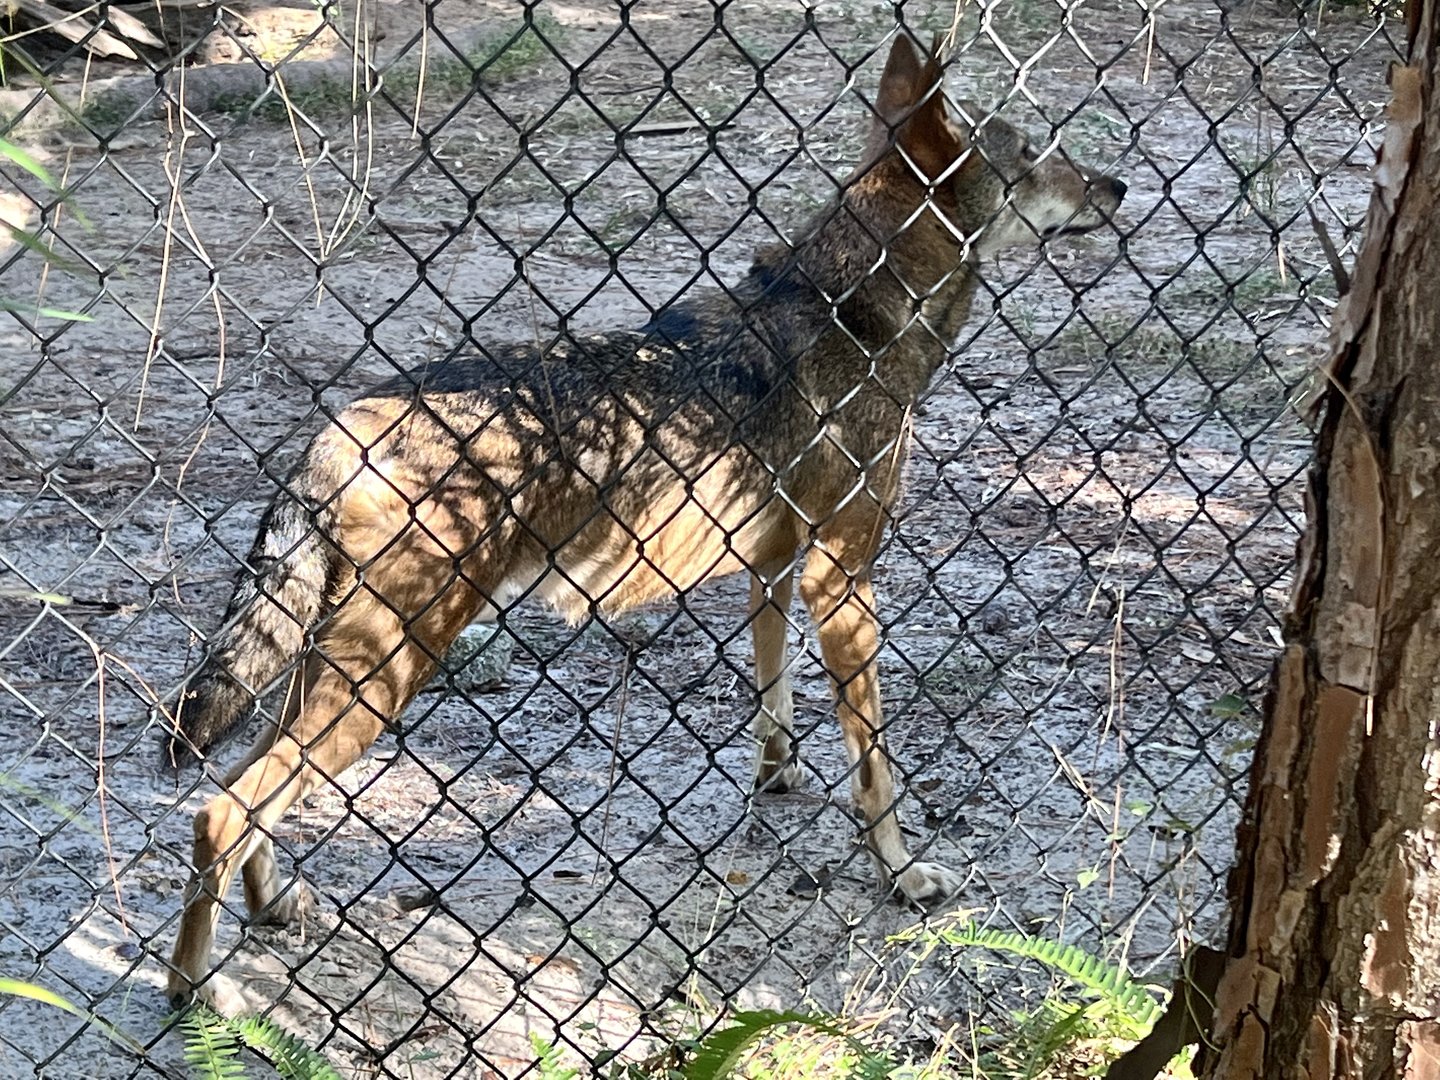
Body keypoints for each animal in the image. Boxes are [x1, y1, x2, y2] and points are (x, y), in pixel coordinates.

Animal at [163, 32, 1125, 1010]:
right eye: (1038, 154)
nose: (1118, 188)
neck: (855, 308)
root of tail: (338, 427)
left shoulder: (774, 569)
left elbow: (774, 697)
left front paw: (780, 778)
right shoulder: (843, 577)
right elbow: (876, 763)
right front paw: (900, 871)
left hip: (334, 673)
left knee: (248, 798)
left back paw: (271, 909)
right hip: (382, 677)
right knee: (219, 811)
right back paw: (200, 991)